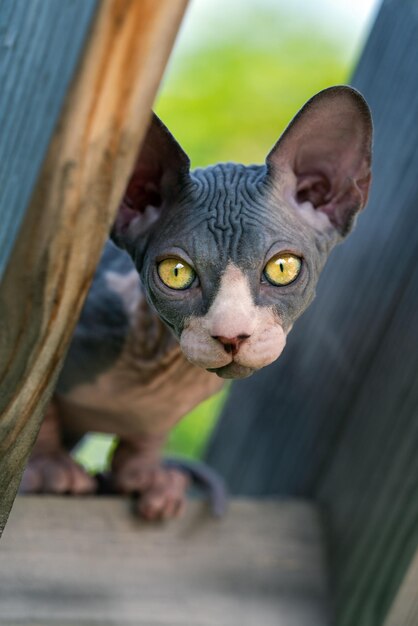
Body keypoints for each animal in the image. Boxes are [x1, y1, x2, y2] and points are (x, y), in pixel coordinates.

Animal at [21, 85, 372, 520]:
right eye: (176, 272)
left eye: (283, 267)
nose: (232, 336)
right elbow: (38, 403)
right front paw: (49, 468)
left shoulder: (157, 416)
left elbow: (146, 436)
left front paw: (145, 477)